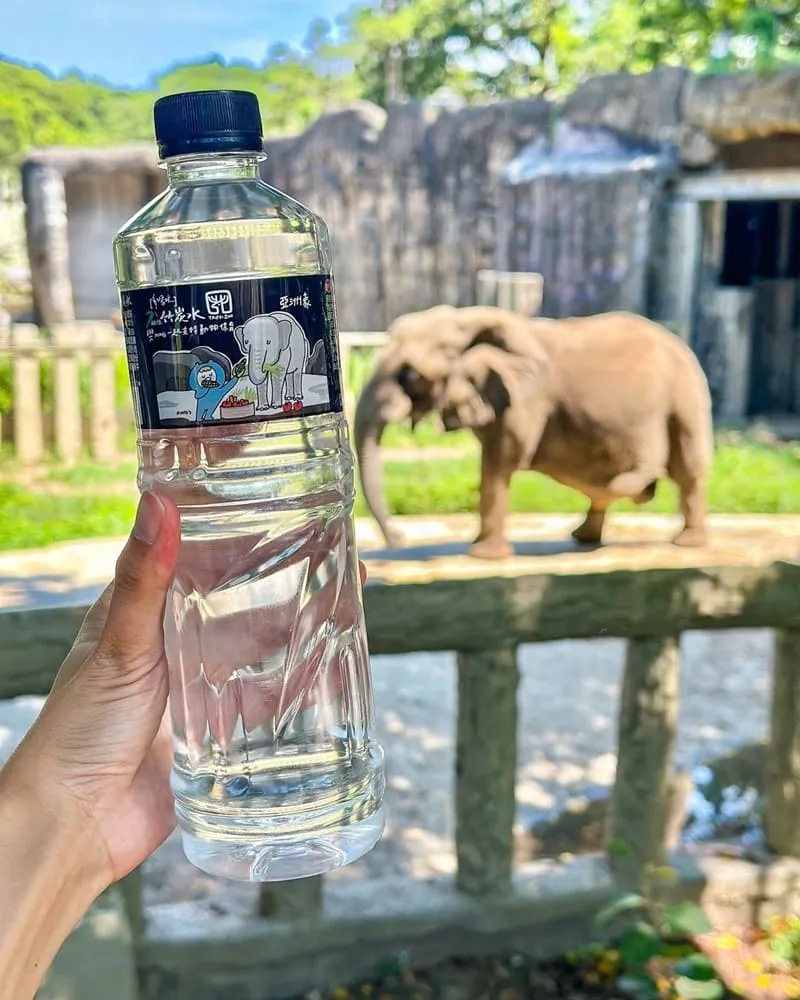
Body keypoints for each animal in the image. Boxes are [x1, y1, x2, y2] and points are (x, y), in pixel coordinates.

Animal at [354, 304, 716, 560]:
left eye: (411, 376)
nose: (398, 539)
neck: (468, 320)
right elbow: (492, 464)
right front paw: (480, 548)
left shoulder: (525, 400)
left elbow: (499, 465)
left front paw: (484, 556)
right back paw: (584, 537)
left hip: (684, 398)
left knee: (688, 470)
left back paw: (685, 540)